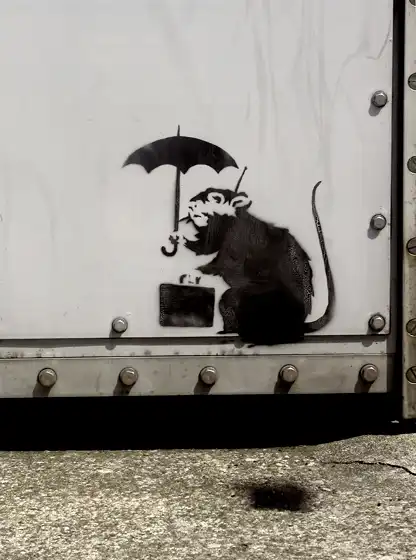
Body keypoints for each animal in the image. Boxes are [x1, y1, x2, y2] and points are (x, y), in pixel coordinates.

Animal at [172, 181, 334, 346]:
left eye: (208, 198)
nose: (191, 205)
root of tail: (301, 323)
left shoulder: (232, 240)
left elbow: (224, 265)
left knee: (233, 297)